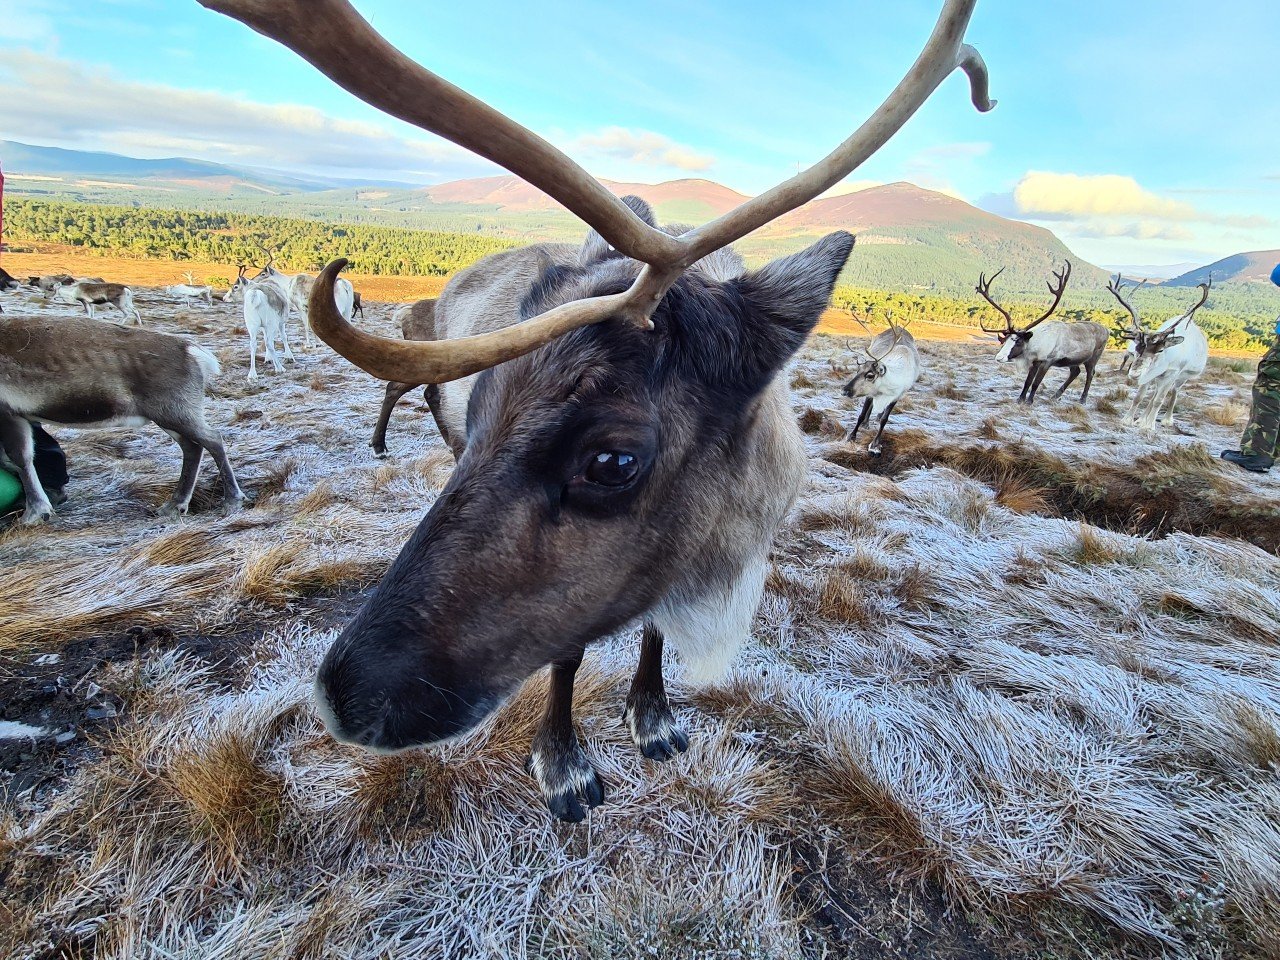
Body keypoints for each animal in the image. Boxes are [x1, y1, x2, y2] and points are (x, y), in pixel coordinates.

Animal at [0, 316, 241, 527]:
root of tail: (194, 352)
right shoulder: (18, 415)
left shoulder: (8, 412)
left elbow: (20, 458)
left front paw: (34, 514)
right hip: (170, 415)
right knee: (192, 446)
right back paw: (175, 505)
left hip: (174, 409)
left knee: (213, 439)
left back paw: (232, 500)